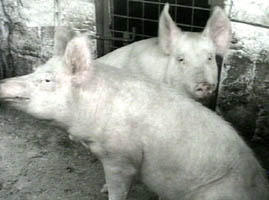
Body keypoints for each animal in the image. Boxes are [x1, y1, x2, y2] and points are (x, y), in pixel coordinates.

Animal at [0, 32, 266, 200]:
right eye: (34, 70)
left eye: (47, 80)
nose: (2, 83)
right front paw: (103, 189)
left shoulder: (120, 157)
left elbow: (120, 188)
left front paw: (108, 192)